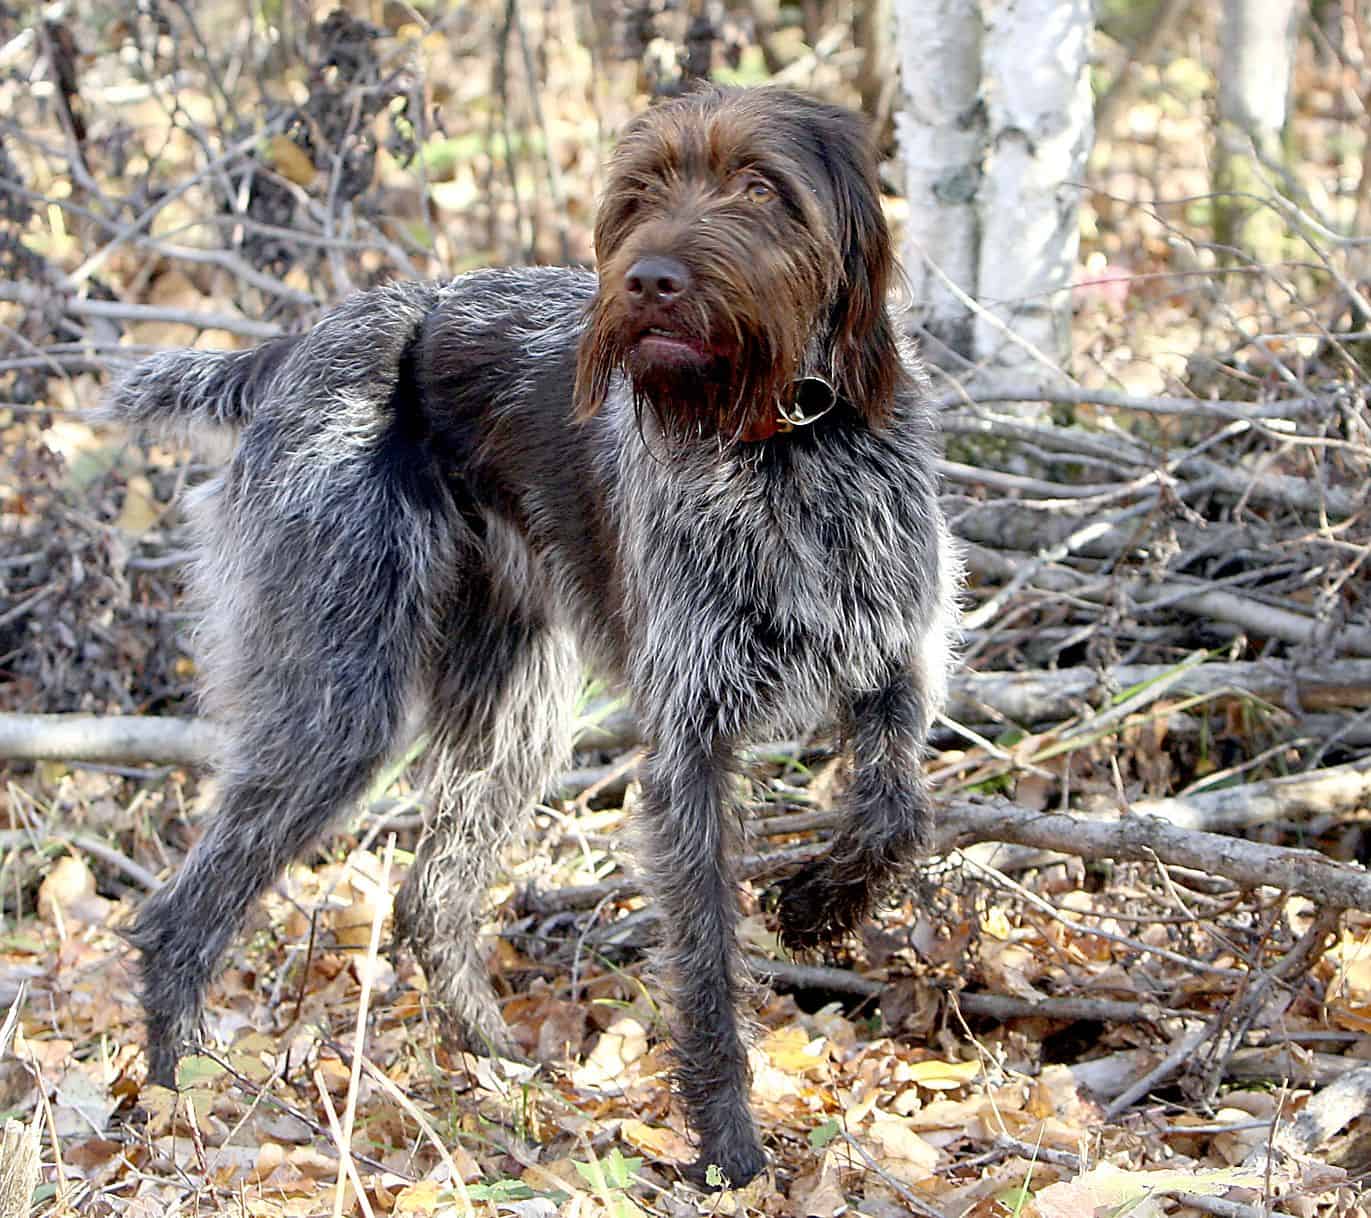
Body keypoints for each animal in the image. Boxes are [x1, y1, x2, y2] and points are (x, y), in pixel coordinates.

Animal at [106, 87, 959, 1190]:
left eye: (761, 187)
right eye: (640, 193)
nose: (650, 280)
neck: (784, 448)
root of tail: (297, 347)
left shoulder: (896, 668)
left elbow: (895, 813)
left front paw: (818, 906)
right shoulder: (689, 743)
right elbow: (707, 967)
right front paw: (728, 1148)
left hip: (515, 709)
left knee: (429, 895)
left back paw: (491, 1070)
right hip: (340, 701)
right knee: (181, 915)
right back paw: (181, 1107)